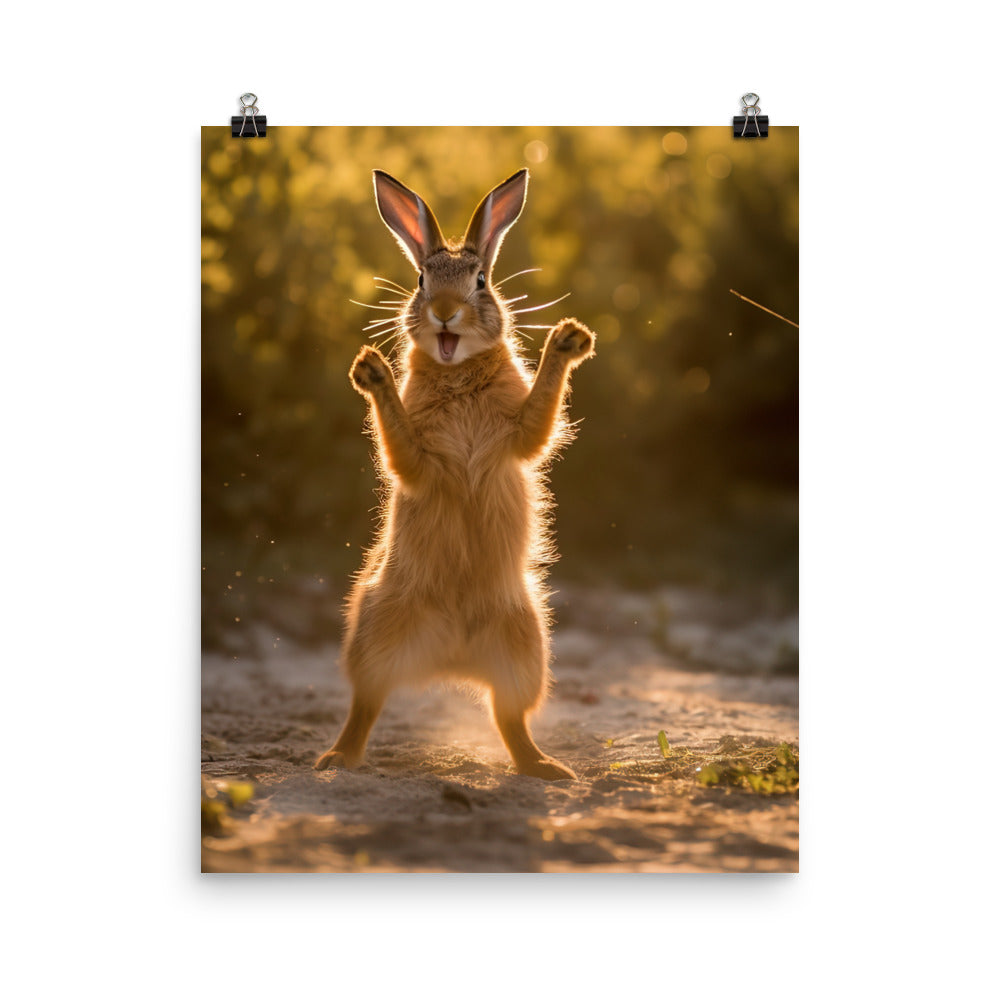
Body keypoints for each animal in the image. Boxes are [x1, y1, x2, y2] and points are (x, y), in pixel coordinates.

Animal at [314, 168, 595, 781]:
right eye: (421, 280)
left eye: (481, 281)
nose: (445, 310)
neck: (457, 371)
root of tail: (450, 658)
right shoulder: (419, 460)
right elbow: (401, 449)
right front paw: (369, 370)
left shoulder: (517, 435)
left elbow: (540, 418)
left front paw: (570, 339)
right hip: (373, 632)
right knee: (366, 705)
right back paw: (336, 759)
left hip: (525, 646)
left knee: (509, 719)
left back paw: (548, 769)